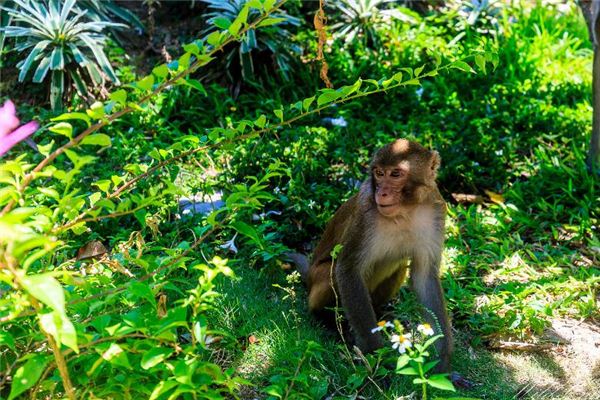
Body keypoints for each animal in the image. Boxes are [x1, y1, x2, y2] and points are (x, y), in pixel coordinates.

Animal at [298, 138, 452, 372]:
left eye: (395, 174)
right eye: (379, 173)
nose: (382, 193)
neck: (406, 210)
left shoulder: (436, 210)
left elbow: (425, 276)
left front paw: (441, 362)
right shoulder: (366, 213)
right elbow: (348, 269)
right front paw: (376, 356)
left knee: (399, 265)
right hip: (318, 279)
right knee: (330, 275)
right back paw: (327, 320)